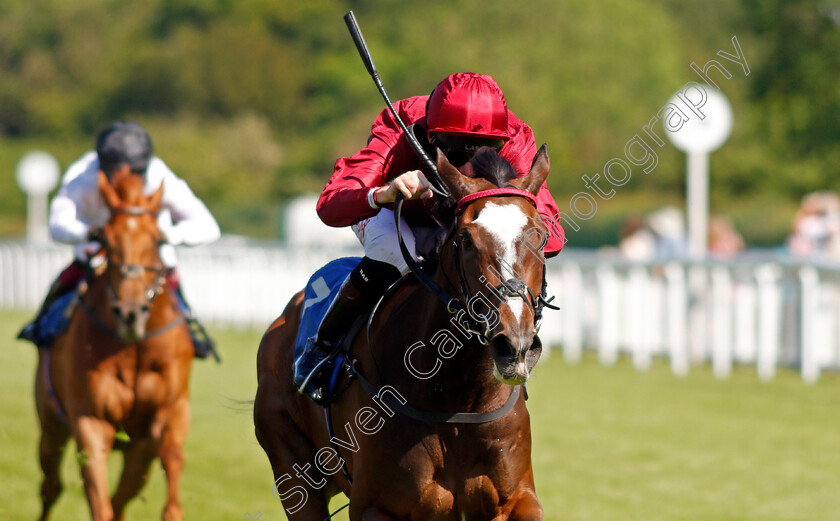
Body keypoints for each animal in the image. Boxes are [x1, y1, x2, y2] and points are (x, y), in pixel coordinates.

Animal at [35, 168, 194, 520]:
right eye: (106, 240)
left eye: (158, 240)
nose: (130, 312)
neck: (132, 347)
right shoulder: (90, 420)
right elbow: (98, 499)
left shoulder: (169, 412)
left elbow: (173, 465)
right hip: (51, 425)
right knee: (51, 487)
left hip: (137, 451)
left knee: (122, 496)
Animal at [254, 147, 552, 520]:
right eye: (466, 240)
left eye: (541, 236)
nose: (514, 347)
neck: (457, 400)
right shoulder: (377, 506)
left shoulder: (515, 499)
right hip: (295, 475)